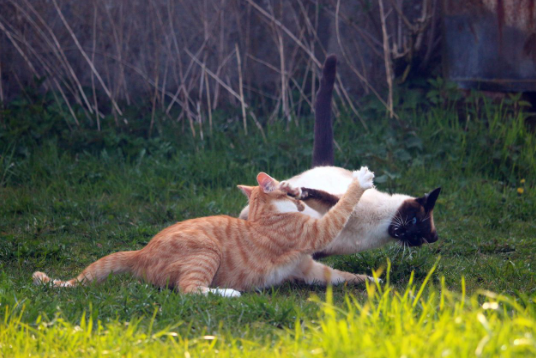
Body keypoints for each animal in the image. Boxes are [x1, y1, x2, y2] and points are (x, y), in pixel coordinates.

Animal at [33, 169, 374, 298]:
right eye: (291, 190)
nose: (302, 195)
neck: (265, 216)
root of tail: (140, 251)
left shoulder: (308, 268)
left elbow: (341, 275)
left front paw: (371, 280)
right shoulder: (320, 232)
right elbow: (343, 207)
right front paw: (360, 181)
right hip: (206, 252)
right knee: (189, 290)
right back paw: (229, 293)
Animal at [240, 55, 440, 268]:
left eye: (416, 238)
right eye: (413, 220)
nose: (406, 232)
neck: (381, 224)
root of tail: (324, 164)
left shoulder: (326, 236)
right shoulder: (334, 202)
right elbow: (312, 195)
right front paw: (297, 193)